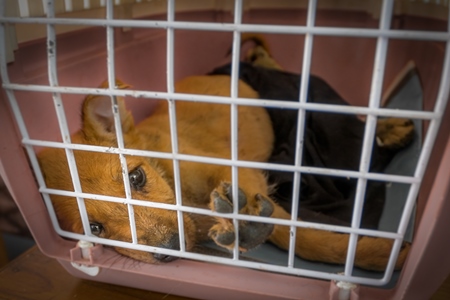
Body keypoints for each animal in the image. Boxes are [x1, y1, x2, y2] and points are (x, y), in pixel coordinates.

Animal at [37, 46, 412, 272]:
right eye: (94, 229)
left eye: (136, 177)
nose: (171, 248)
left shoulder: (234, 170)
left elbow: (303, 238)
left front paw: (381, 255)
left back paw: (390, 127)